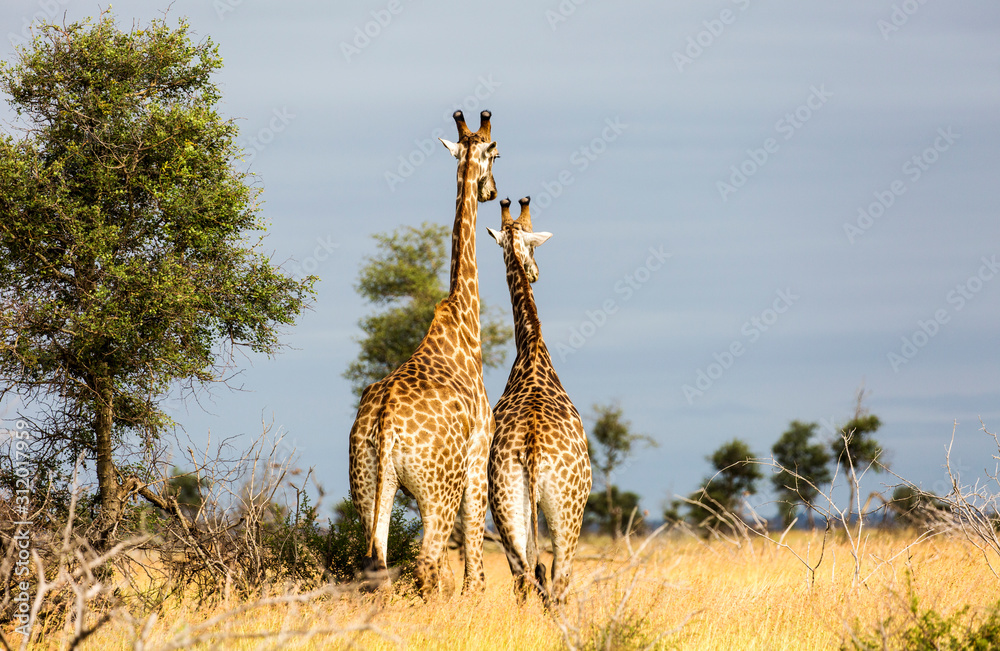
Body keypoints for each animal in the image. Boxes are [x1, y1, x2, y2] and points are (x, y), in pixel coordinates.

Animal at [348, 110, 498, 599]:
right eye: (497, 154)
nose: (491, 191)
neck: (463, 326)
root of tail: (385, 422)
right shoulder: (477, 464)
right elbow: (474, 571)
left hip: (368, 484)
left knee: (377, 563)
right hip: (439, 490)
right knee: (426, 564)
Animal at [486, 197, 592, 606]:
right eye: (535, 247)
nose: (534, 273)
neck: (531, 352)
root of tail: (532, 449)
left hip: (505, 500)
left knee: (523, 572)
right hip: (568, 506)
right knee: (558, 576)